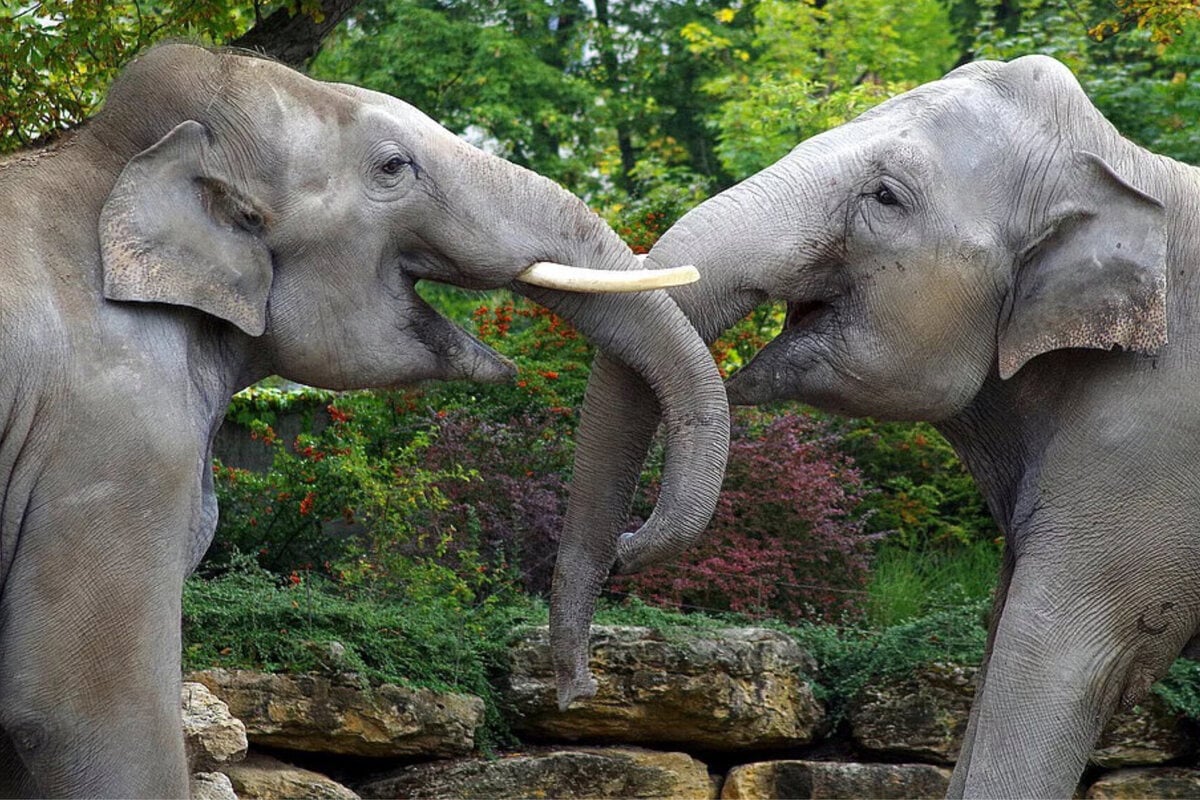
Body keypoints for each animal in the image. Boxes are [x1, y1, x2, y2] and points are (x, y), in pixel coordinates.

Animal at [550, 54, 1200, 798]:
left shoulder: (1148, 451)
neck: (1133, 171)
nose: (577, 688)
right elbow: (1003, 635)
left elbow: (1053, 653)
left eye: (886, 197)